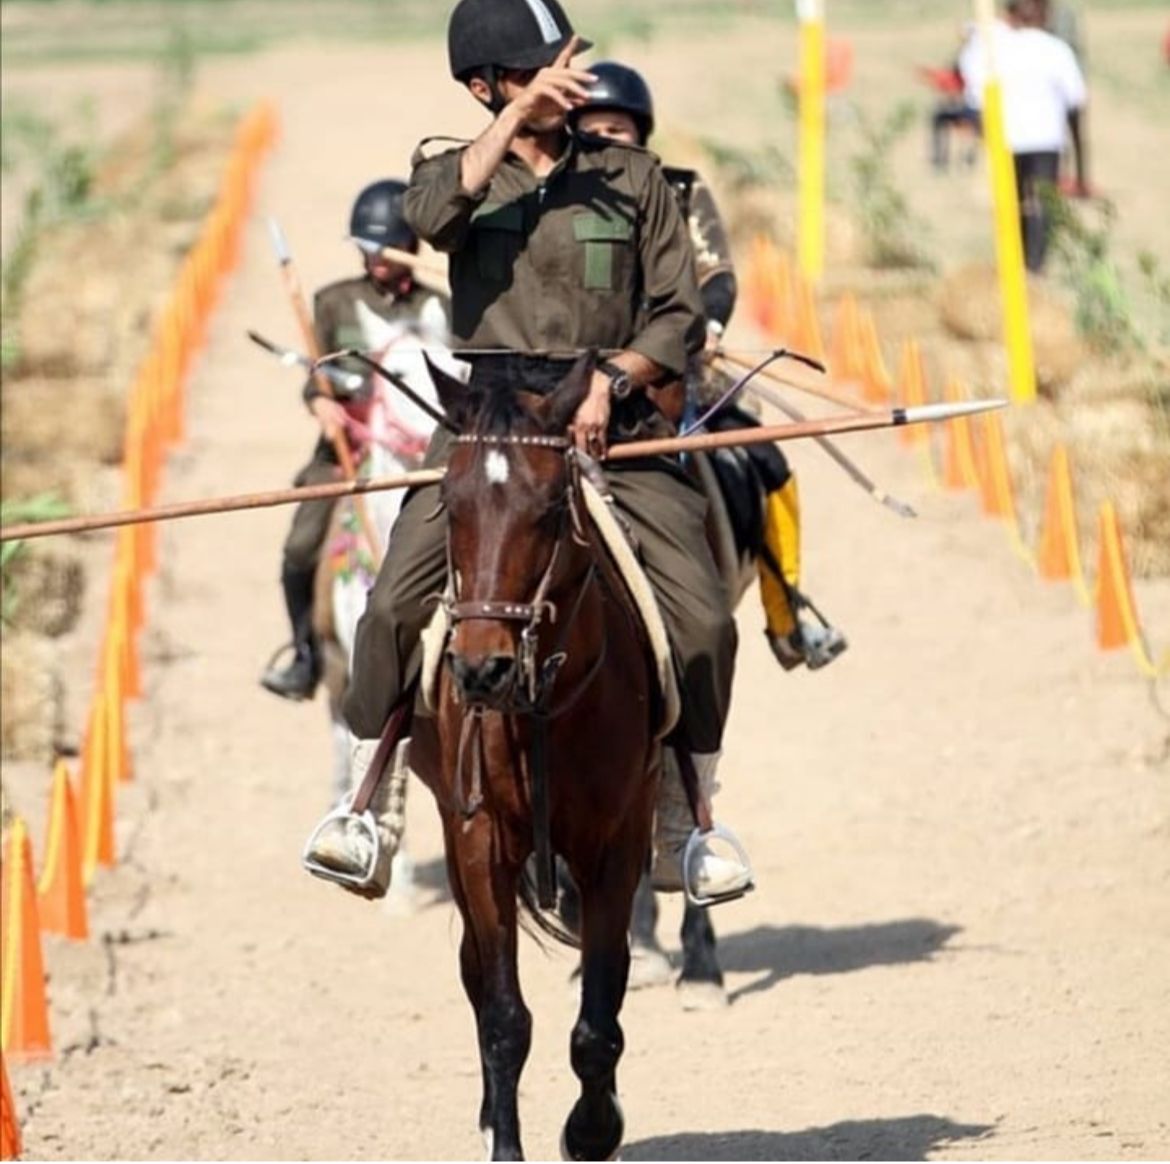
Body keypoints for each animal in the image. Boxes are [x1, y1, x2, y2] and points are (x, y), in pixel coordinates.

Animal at [411, 355, 659, 1164]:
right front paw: (507, 1141)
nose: (480, 670)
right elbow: (502, 1016)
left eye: (551, 509)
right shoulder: (479, 839)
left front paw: (593, 1129)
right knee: (472, 973)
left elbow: (600, 1016)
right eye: (448, 504)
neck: (543, 706)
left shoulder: (616, 847)